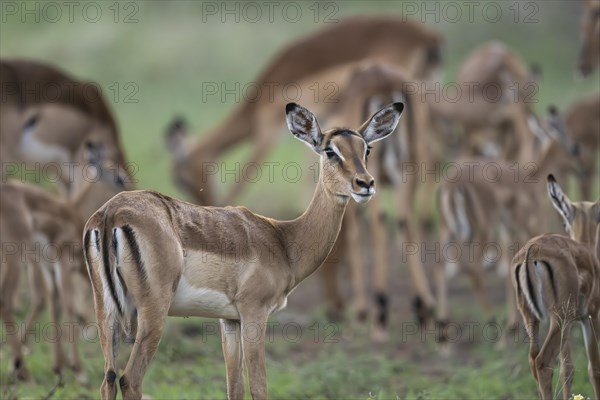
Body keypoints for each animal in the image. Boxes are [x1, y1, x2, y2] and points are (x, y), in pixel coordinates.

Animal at [84, 102, 404, 396]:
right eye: (330, 151)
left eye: (366, 149)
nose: (365, 184)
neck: (284, 240)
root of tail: (112, 213)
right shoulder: (254, 313)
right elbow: (259, 388)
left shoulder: (229, 320)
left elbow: (234, 388)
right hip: (153, 312)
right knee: (130, 379)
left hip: (106, 312)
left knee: (108, 378)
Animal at [510, 176, 600, 400]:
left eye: (565, 222)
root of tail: (531, 252)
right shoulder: (591, 315)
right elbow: (594, 367)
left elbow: (568, 369)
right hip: (560, 318)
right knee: (543, 362)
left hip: (535, 319)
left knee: (533, 360)